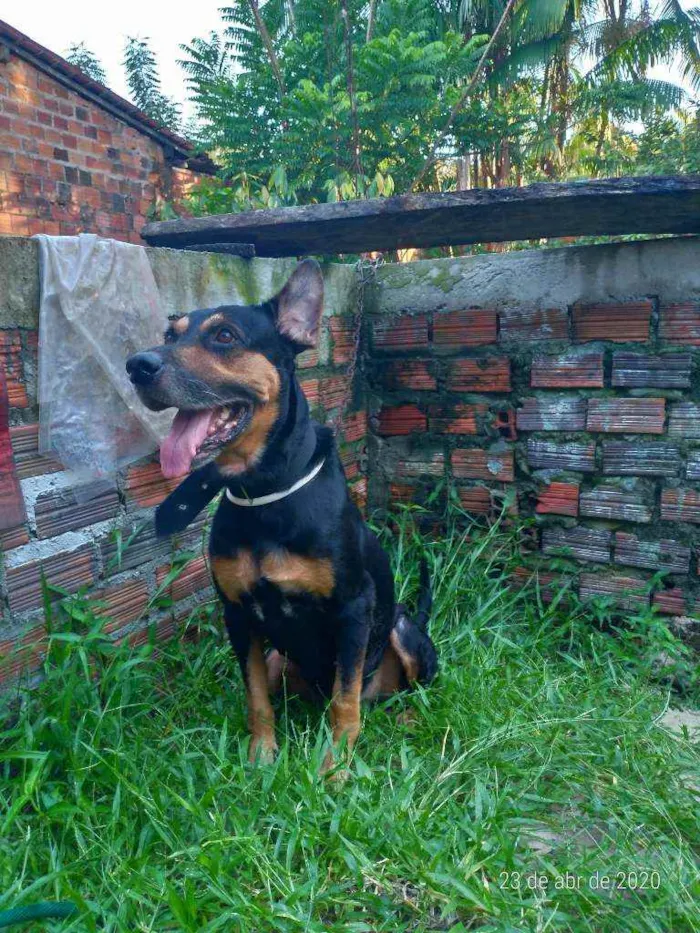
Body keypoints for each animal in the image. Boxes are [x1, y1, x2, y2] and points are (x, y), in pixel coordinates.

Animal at [123, 258, 434, 768]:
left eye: (224, 335)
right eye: (170, 335)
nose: (137, 366)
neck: (263, 493)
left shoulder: (354, 609)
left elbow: (346, 698)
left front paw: (335, 766)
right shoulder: (237, 614)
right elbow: (254, 696)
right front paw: (261, 756)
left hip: (404, 632)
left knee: (400, 691)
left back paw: (405, 719)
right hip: (278, 659)